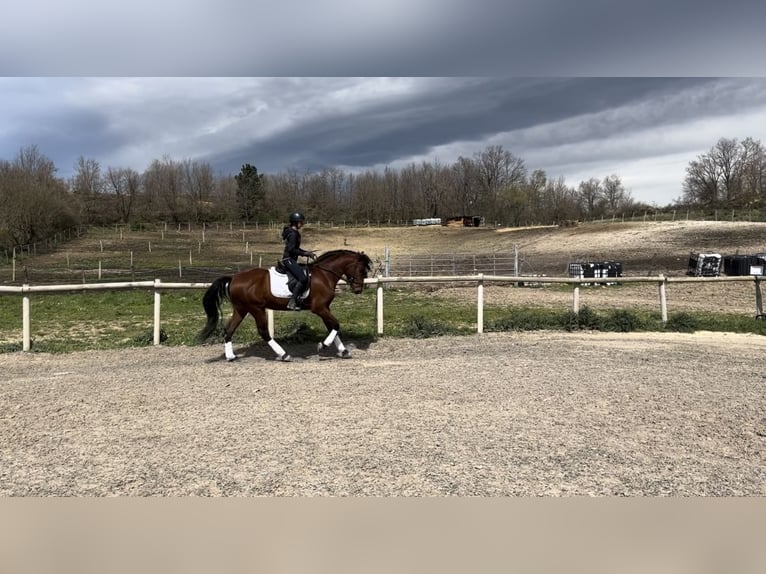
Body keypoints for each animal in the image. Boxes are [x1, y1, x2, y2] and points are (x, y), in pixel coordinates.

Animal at [196, 250, 374, 362]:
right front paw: (323, 345)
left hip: (241, 309)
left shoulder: (325, 308)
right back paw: (283, 355)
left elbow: (332, 327)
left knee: (229, 330)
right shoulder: (319, 308)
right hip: (256, 309)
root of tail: (233, 278)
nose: (358, 289)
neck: (325, 275)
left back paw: (230, 357)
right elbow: (336, 325)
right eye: (361, 270)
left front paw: (343, 351)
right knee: (264, 332)